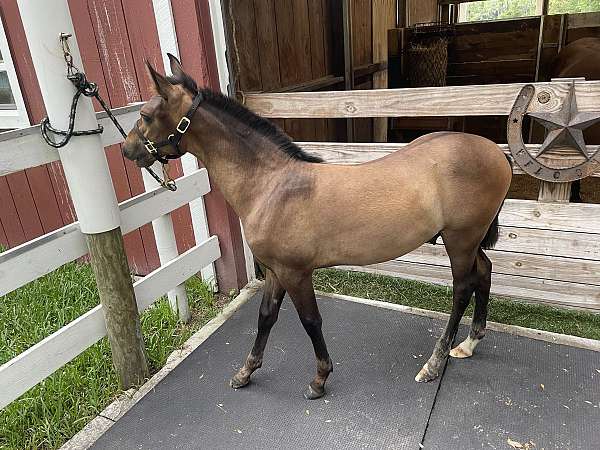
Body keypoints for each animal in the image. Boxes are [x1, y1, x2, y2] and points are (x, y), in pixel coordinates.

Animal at [122, 54, 510, 400]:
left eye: (145, 115)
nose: (128, 150)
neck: (271, 186)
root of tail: (496, 153)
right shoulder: (276, 270)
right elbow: (265, 316)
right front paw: (246, 372)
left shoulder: (295, 272)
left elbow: (310, 320)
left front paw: (320, 379)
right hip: (470, 242)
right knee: (484, 271)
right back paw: (470, 342)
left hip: (460, 240)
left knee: (463, 288)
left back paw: (434, 363)